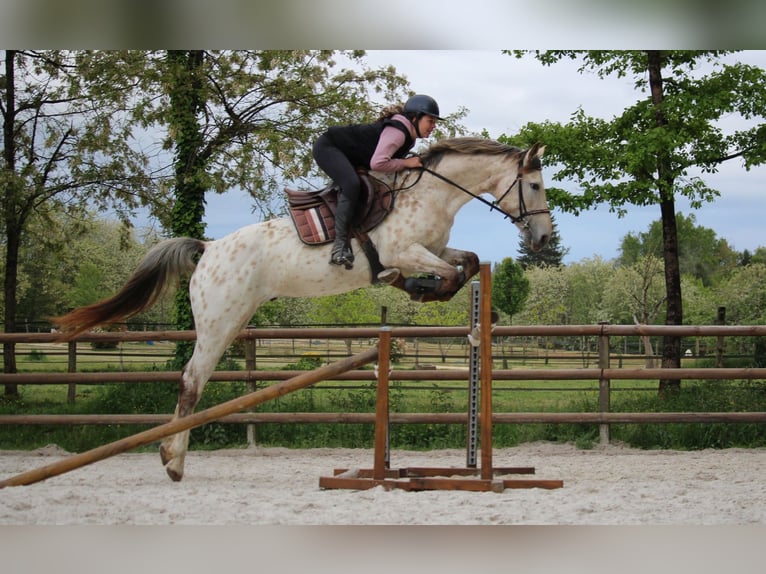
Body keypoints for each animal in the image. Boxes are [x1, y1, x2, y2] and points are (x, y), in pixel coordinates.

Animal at [52, 136, 552, 482]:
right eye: (534, 185)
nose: (544, 238)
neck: (430, 193)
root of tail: (208, 248)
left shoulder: (433, 249)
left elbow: (466, 262)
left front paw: (465, 310)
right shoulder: (406, 251)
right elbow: (443, 275)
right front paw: (416, 290)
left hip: (231, 320)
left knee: (194, 381)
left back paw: (172, 458)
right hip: (219, 322)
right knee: (192, 381)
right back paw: (172, 462)